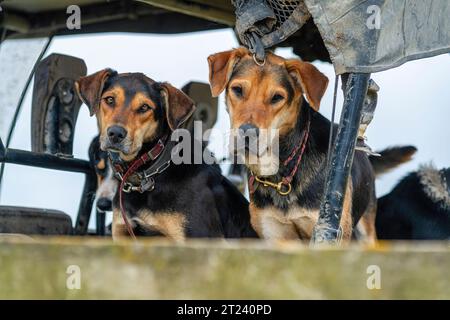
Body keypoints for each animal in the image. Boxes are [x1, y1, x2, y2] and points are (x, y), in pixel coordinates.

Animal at [207, 48, 414, 242]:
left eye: (277, 97)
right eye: (238, 90)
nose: (247, 133)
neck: (283, 172)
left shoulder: (327, 230)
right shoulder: (275, 234)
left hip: (366, 228)